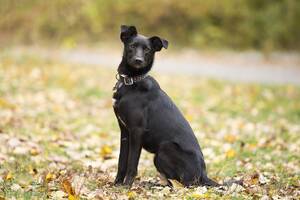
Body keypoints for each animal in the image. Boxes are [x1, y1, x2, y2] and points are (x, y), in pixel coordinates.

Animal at [112, 25, 218, 188]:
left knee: (181, 184)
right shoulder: (124, 131)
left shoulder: (137, 131)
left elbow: (132, 163)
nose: (138, 60)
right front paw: (116, 184)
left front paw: (127, 186)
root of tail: (203, 175)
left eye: (147, 50)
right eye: (132, 46)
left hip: (164, 149)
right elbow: (121, 161)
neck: (132, 82)